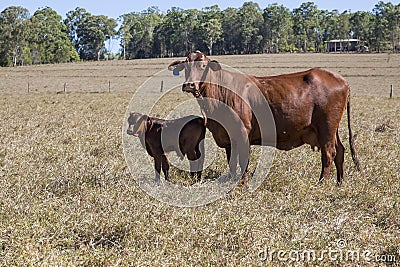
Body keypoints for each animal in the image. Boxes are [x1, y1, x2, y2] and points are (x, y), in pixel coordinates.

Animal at [167, 52, 360, 186]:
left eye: (202, 65)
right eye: (185, 67)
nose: (189, 85)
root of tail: (341, 80)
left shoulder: (242, 132)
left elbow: (243, 159)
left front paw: (244, 182)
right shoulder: (228, 137)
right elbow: (231, 161)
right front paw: (231, 180)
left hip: (326, 127)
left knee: (328, 153)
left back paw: (322, 182)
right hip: (330, 130)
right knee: (340, 151)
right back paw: (339, 181)